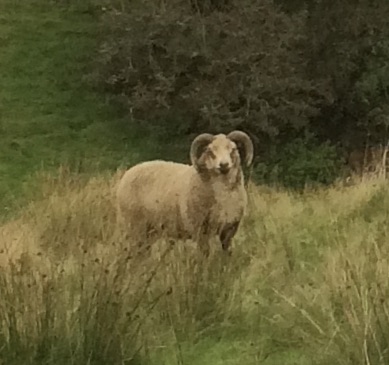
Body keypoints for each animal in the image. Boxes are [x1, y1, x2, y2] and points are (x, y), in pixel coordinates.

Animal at [115, 131, 255, 256]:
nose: (224, 165)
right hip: (135, 226)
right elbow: (204, 254)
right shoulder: (200, 230)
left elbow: (227, 252)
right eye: (210, 151)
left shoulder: (229, 230)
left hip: (150, 230)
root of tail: (127, 174)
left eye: (233, 149)